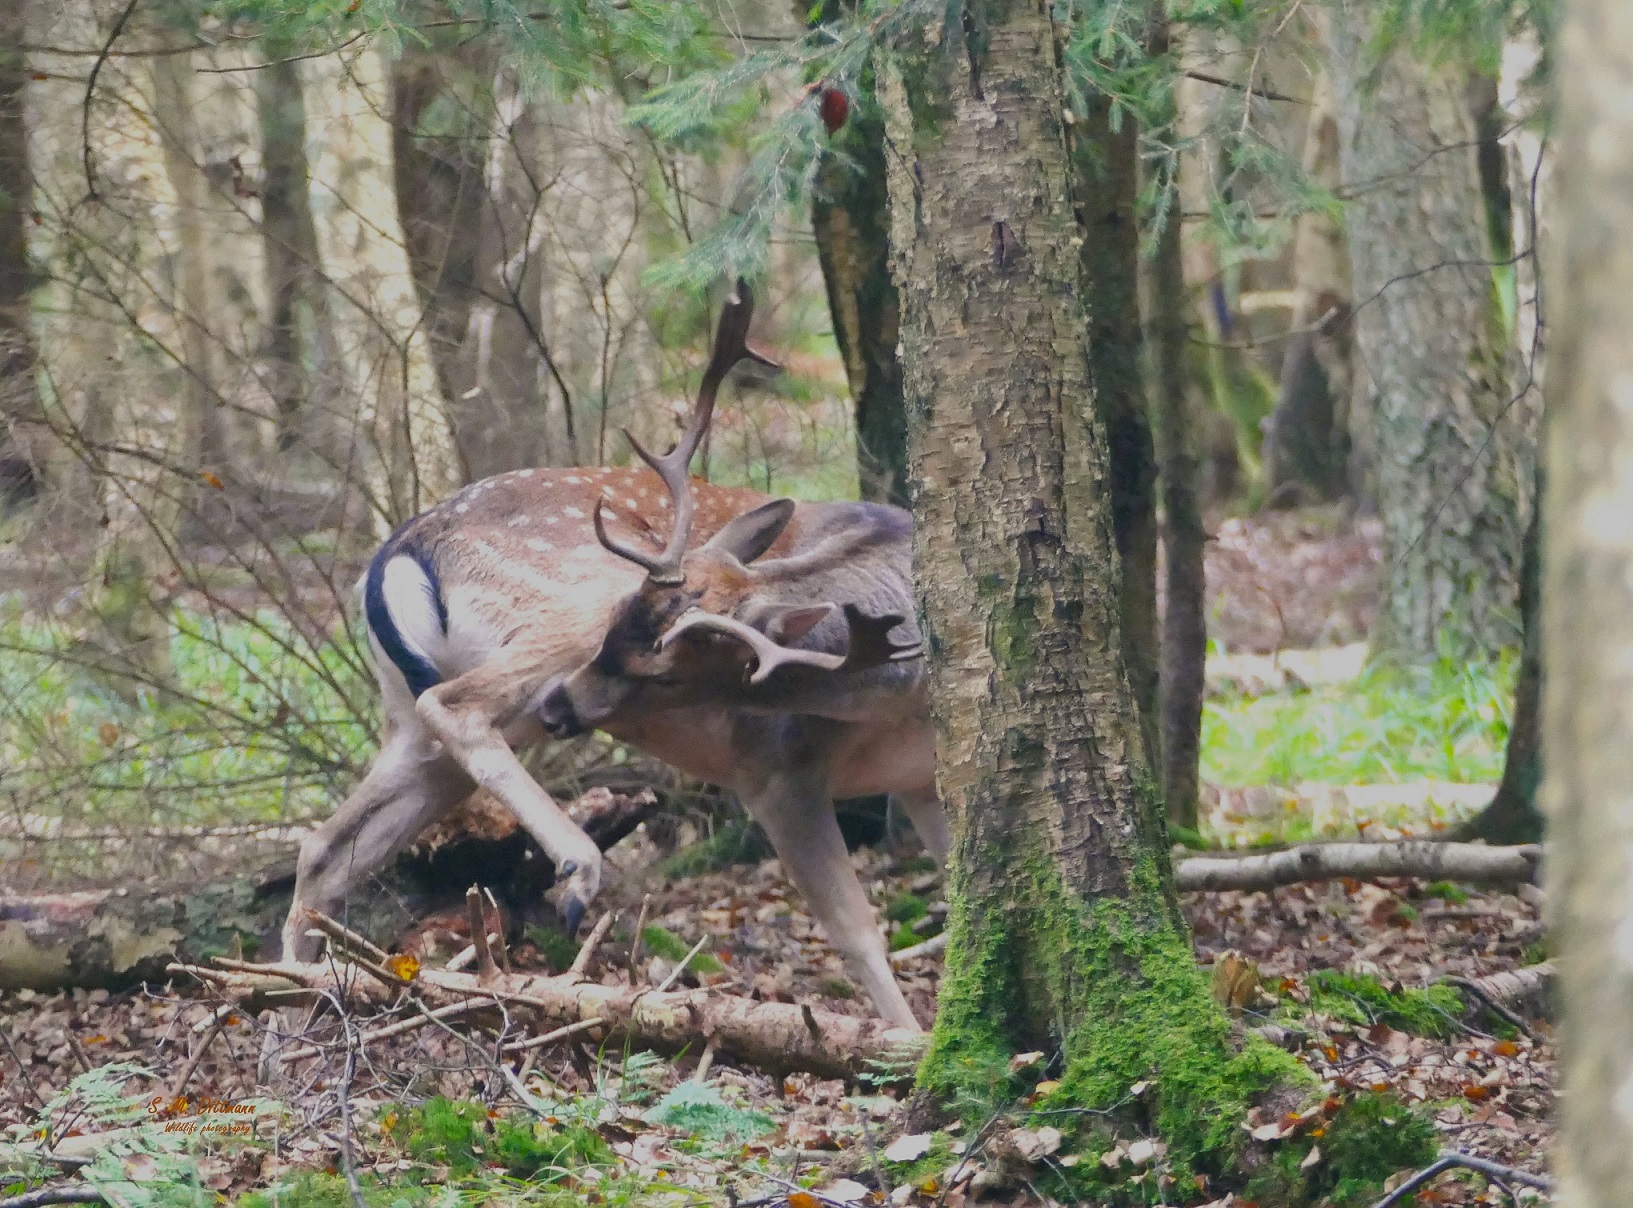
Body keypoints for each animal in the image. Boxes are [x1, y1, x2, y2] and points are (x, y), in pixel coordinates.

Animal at [282, 282, 947, 1031]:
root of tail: (396, 554)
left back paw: (291, 998)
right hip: (557, 620)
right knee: (454, 705)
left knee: (325, 847)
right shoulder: (774, 766)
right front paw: (907, 1047)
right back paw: (578, 869)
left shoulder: (922, 777)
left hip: (408, 725)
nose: (562, 702)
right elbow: (857, 933)